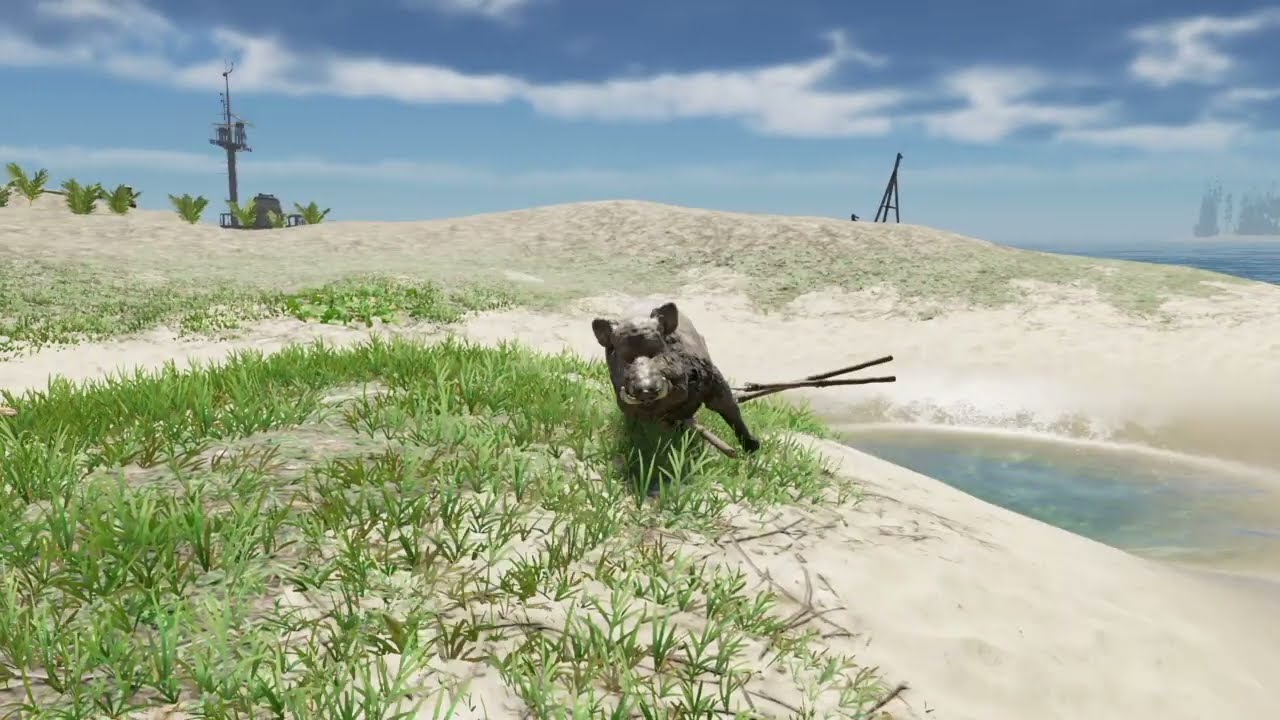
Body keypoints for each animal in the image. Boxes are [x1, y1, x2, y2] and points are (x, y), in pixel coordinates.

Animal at [591, 301, 761, 454]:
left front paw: (752, 448)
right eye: (624, 357)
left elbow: (729, 408)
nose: (645, 391)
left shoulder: (714, 380)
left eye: (657, 350)